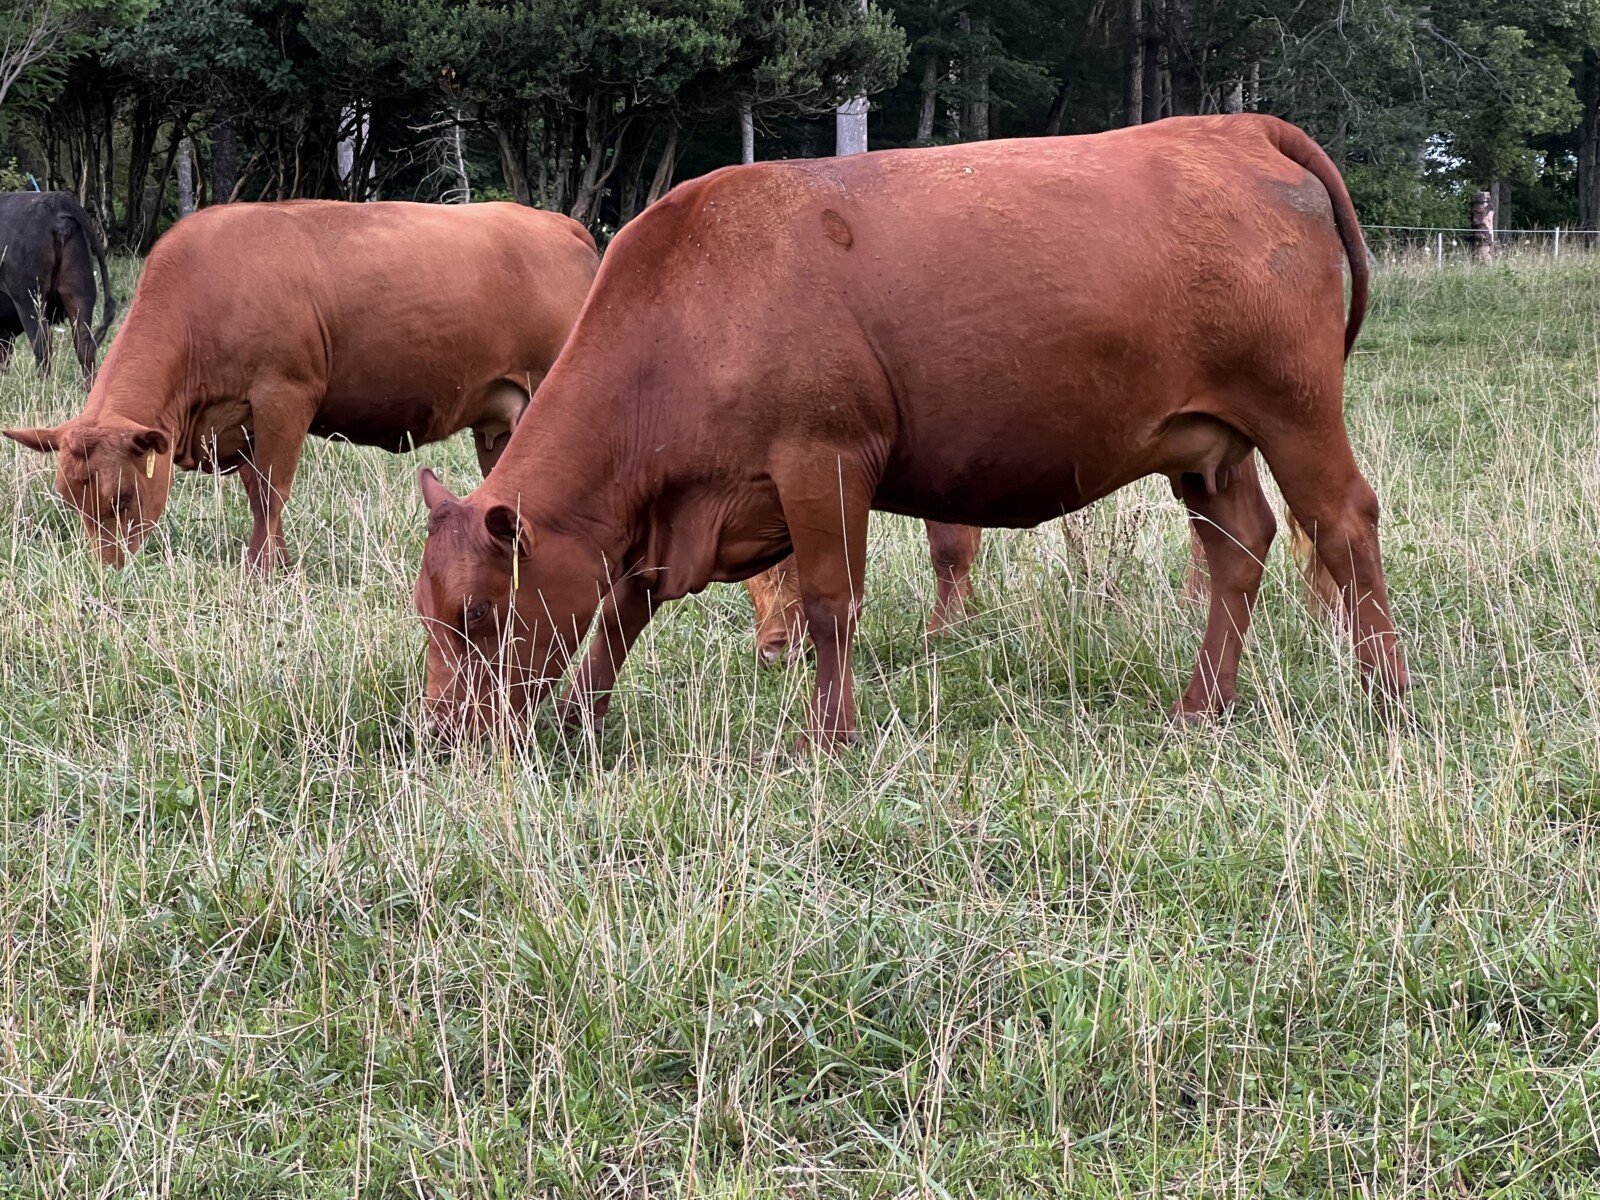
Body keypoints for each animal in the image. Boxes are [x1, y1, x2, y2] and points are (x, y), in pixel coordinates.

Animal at [412, 115, 1409, 749]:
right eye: (428, 612)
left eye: (478, 614)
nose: (440, 733)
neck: (690, 311)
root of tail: (1237, 127)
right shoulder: (681, 510)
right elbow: (625, 605)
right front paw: (581, 714)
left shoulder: (822, 460)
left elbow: (829, 603)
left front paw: (825, 737)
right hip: (1207, 443)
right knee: (1239, 547)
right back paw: (1202, 705)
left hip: (1294, 409)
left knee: (1343, 524)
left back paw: (1383, 697)